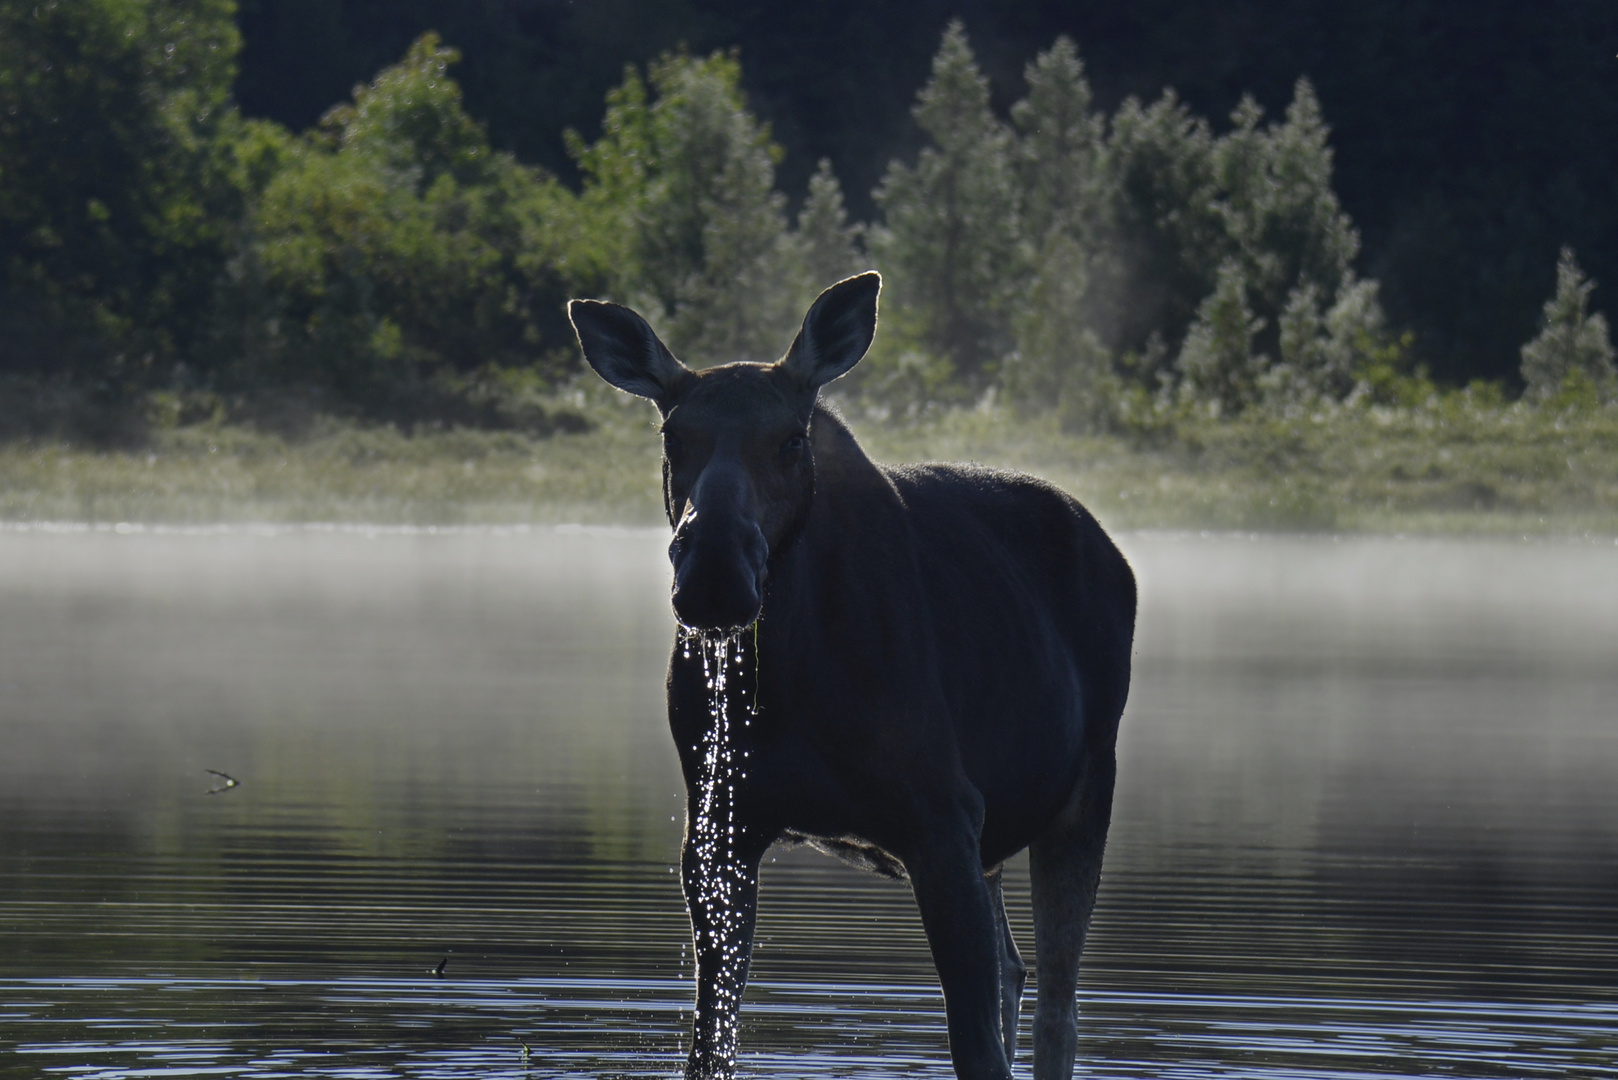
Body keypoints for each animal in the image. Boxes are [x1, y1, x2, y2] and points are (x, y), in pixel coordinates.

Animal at [569, 275, 1139, 1080]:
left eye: (792, 438)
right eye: (672, 436)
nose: (714, 577)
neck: (794, 675)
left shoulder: (942, 818)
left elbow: (976, 1048)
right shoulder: (721, 827)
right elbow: (708, 1051)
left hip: (1084, 787)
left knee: (1060, 1006)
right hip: (998, 839)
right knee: (1016, 969)